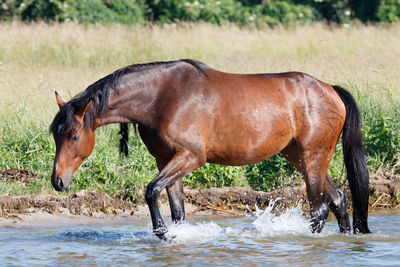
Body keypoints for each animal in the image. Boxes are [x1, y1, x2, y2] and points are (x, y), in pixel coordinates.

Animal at [50, 59, 372, 240]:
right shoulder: (166, 160)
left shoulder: (191, 157)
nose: (58, 181)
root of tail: (330, 89)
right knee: (338, 199)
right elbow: (177, 209)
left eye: (74, 136)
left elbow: (151, 191)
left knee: (319, 208)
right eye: (56, 134)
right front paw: (174, 233)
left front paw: (163, 233)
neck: (160, 97)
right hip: (300, 156)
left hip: (312, 156)